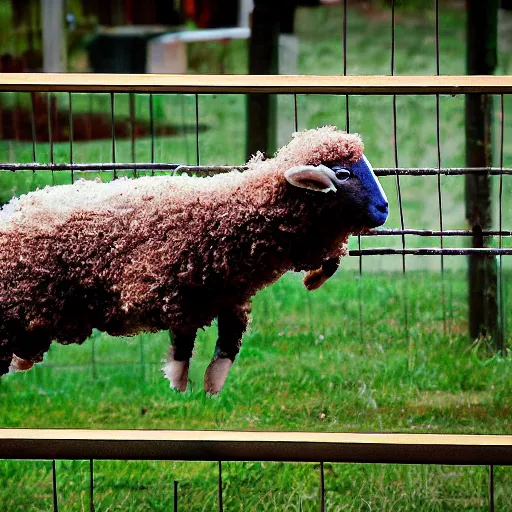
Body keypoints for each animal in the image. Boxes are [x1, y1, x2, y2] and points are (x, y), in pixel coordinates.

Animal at [0, 126, 388, 394]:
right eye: (343, 174)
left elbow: (228, 344)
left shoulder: (231, 298)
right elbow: (183, 345)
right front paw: (179, 382)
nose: (384, 209)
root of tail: (14, 207)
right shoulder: (177, 293)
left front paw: (211, 386)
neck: (229, 211)